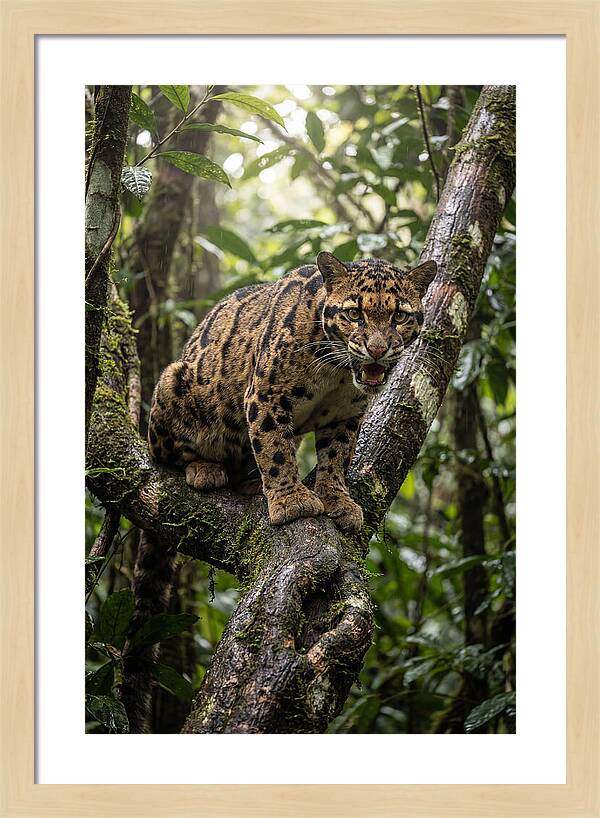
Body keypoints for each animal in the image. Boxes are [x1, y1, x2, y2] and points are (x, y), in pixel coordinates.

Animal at [148, 251, 437, 533]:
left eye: (399, 317)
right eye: (354, 314)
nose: (377, 349)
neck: (337, 372)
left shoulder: (345, 414)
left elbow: (337, 457)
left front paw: (337, 498)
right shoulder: (266, 396)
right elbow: (275, 450)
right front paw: (291, 500)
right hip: (173, 380)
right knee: (169, 456)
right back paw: (205, 468)